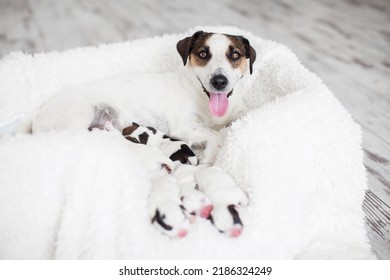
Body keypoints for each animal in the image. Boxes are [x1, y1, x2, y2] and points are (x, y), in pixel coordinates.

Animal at [29, 30, 256, 236]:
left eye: (235, 55)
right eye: (202, 54)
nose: (219, 81)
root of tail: (38, 117)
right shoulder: (185, 127)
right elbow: (216, 135)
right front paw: (210, 154)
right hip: (79, 116)